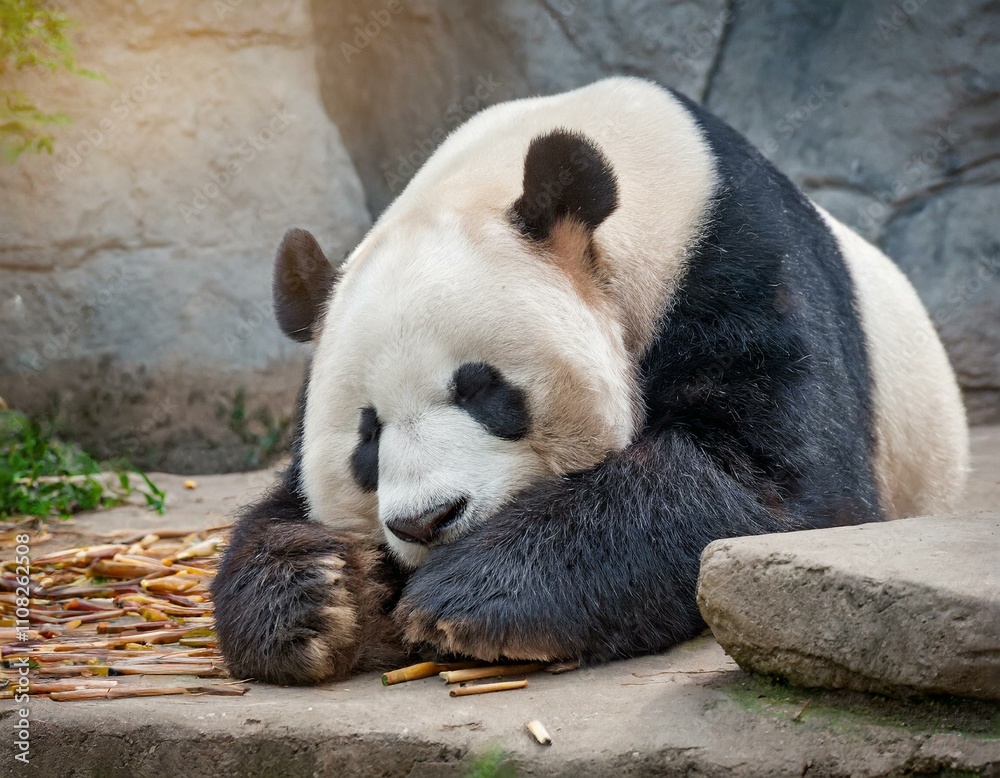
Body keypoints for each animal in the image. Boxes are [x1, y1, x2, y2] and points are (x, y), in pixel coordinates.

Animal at [211, 77, 969, 685]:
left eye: (482, 389)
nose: (428, 520)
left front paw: (477, 597)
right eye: (368, 437)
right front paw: (323, 592)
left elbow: (774, 482)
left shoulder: (743, 264)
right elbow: (282, 510)